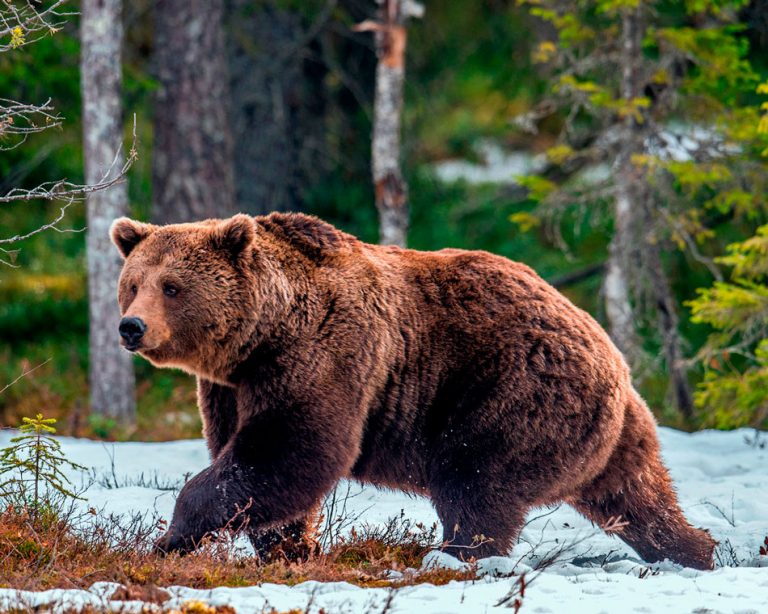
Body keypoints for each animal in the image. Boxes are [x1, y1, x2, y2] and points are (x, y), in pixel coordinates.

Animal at [111, 213, 716, 572]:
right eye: (133, 283)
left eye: (172, 287)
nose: (131, 327)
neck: (263, 334)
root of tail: (609, 350)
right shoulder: (230, 387)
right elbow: (254, 462)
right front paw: (288, 548)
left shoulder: (325, 356)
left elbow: (290, 451)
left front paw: (170, 537)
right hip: (612, 431)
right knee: (637, 496)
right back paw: (696, 550)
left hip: (509, 394)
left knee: (475, 482)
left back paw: (453, 557)